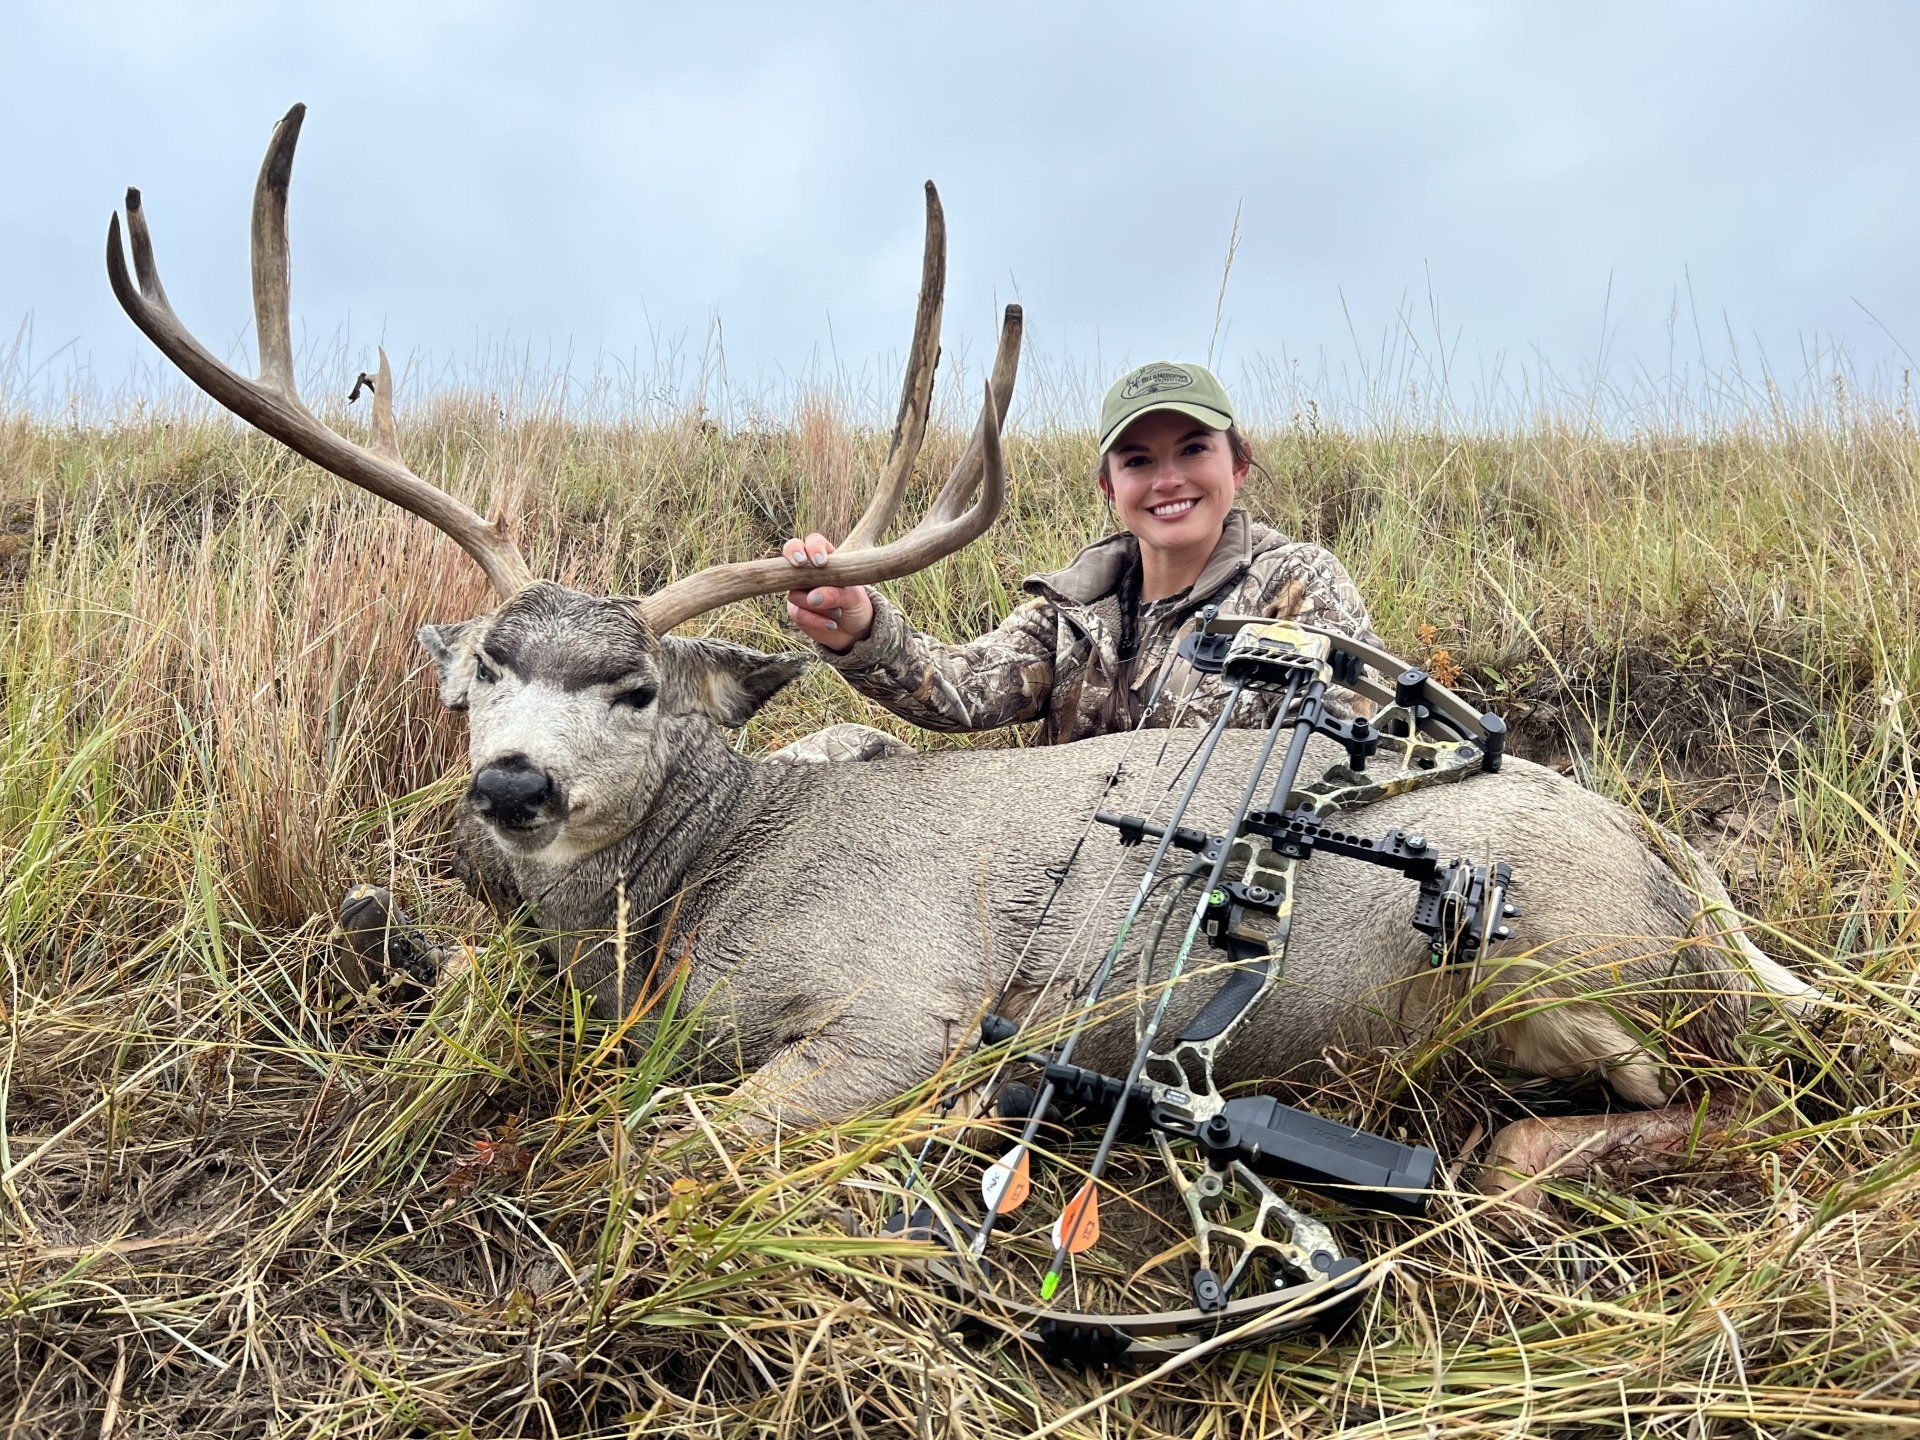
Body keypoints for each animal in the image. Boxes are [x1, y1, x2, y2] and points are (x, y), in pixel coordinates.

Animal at [107, 106, 1817, 1230]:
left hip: (1556, 966)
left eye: (637, 689)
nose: (513, 787)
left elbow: (667, 1144)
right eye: (479, 676)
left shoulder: (901, 1008)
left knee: (1733, 1103)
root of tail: (1671, 858)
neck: (704, 884)